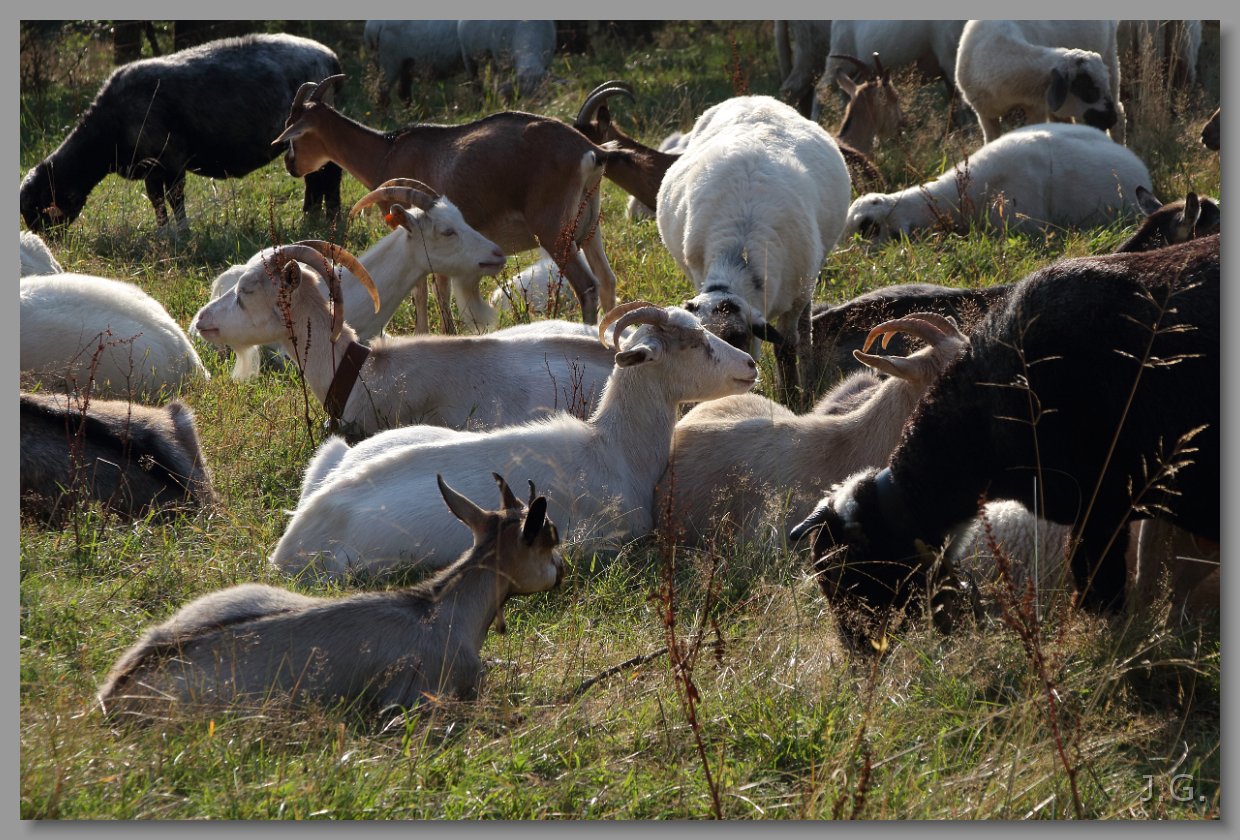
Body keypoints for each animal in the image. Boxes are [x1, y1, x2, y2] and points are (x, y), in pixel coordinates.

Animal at [20, 33, 342, 235]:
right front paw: (163, 231)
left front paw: (182, 233)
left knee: (329, 176)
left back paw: (331, 220)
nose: (49, 244)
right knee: (316, 179)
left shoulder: (172, 159)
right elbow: (156, 200)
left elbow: (175, 199)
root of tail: (329, 55)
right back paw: (311, 219)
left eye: (37, 211)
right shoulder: (151, 168)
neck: (107, 130)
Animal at [275, 74, 664, 326]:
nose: (291, 165)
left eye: (294, 133)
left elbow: (424, 293)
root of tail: (592, 151)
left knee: (588, 287)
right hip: (589, 228)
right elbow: (438, 290)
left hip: (555, 231)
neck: (385, 151)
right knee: (609, 281)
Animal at [657, 95, 851, 404]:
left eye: (735, 337)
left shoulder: (795, 298)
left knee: (805, 330)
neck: (739, 259)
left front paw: (791, 397)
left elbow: (786, 347)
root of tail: (752, 98)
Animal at [954, 20, 1126, 145]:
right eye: (1089, 90)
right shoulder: (984, 114)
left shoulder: (1036, 107)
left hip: (1110, 52)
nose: (1110, 119)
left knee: (1119, 111)